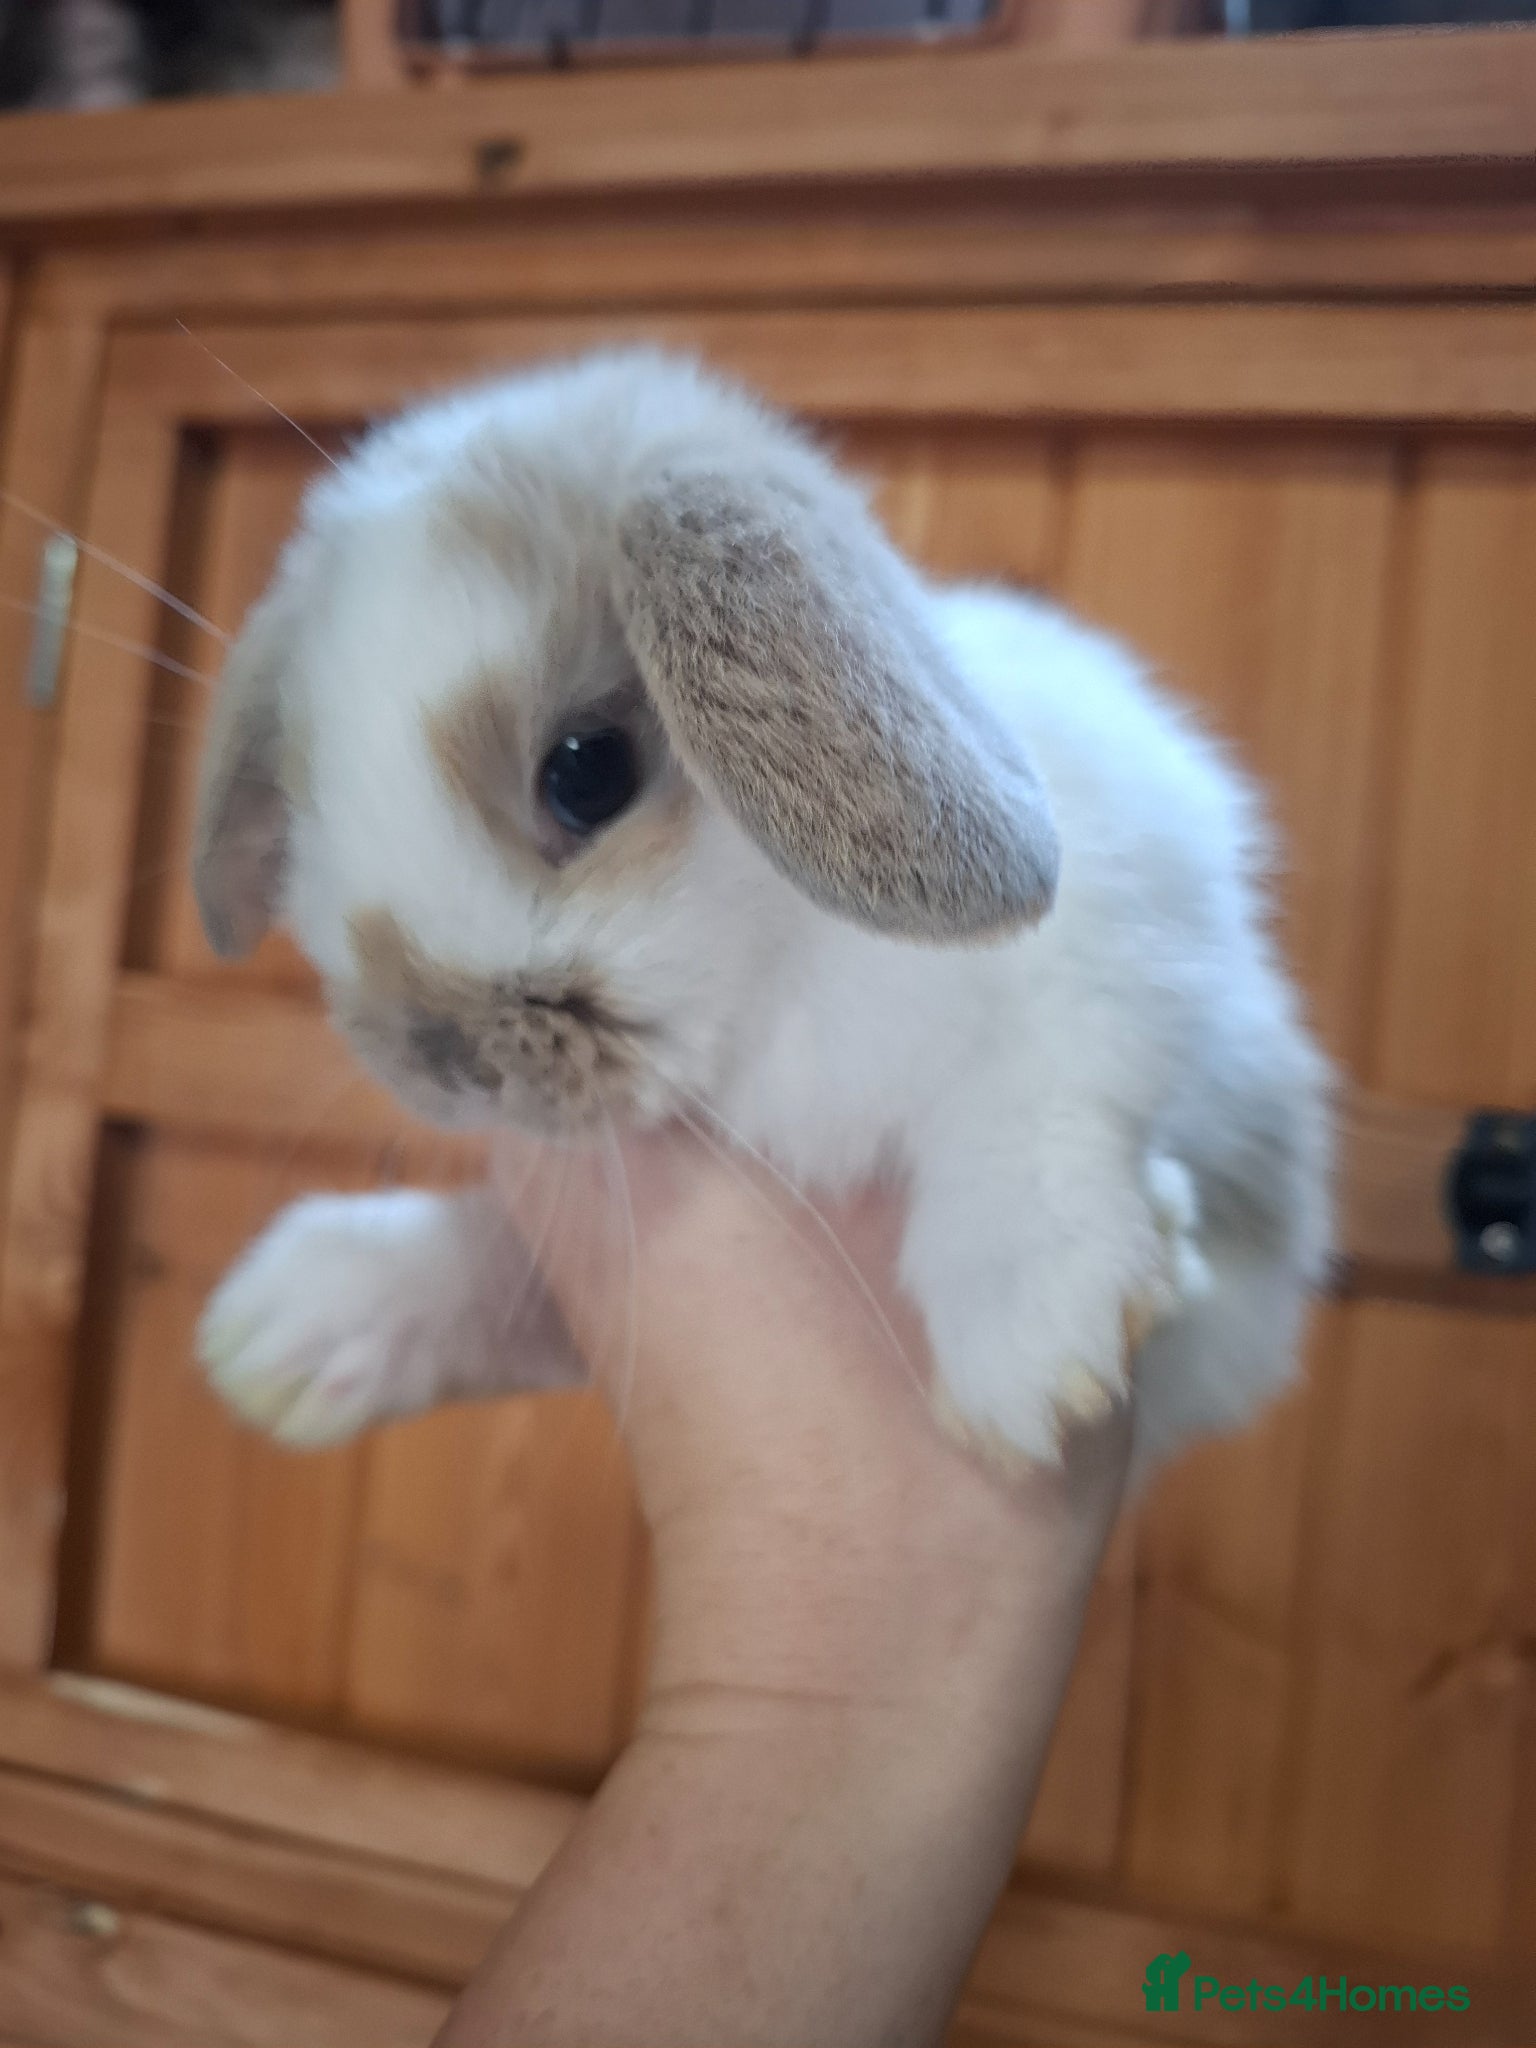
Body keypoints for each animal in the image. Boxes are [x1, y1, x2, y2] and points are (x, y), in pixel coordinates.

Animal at [192, 347, 1331, 1477]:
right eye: (306, 795)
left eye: (587, 771)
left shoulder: (1140, 904)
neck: (780, 982)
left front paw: (1029, 1343)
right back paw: (299, 1321)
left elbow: (1046, 1086)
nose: (439, 1058)